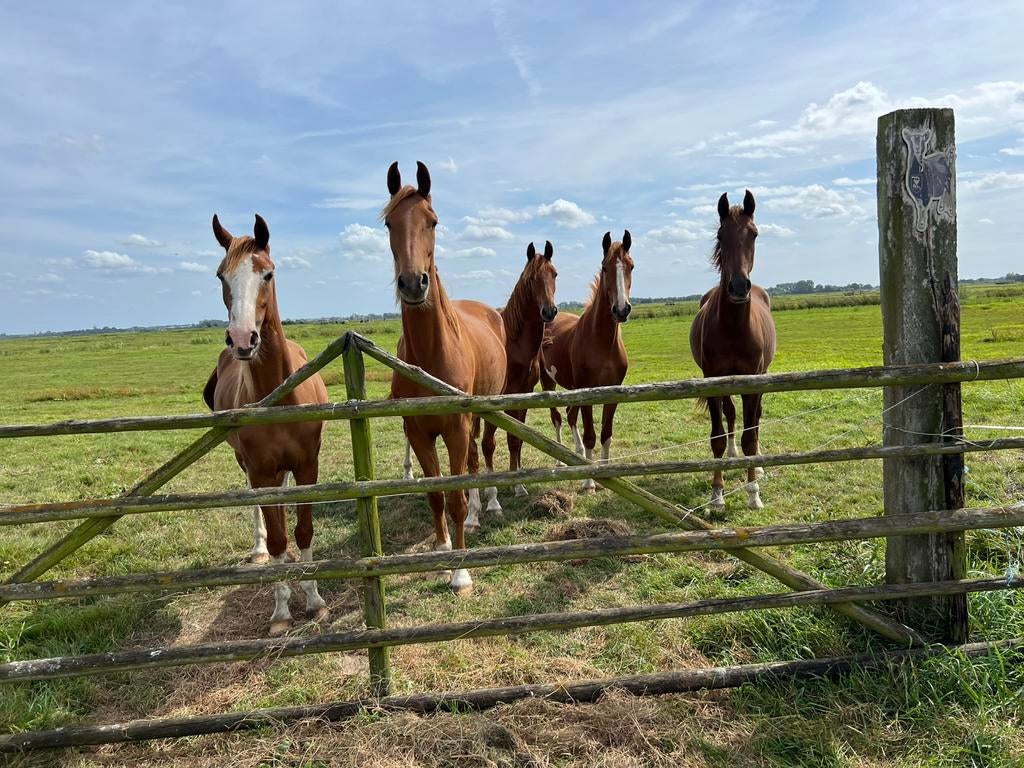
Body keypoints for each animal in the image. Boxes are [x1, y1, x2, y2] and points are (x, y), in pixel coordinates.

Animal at [202, 213, 329, 636]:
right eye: (221, 276)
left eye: (268, 273)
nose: (243, 339)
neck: (280, 395)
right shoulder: (260, 469)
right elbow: (276, 538)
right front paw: (281, 611)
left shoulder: (307, 465)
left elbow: (303, 531)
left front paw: (315, 601)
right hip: (248, 466)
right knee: (259, 509)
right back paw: (259, 550)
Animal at [383, 161, 508, 596]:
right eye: (388, 223)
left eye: (433, 221)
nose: (412, 283)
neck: (432, 355)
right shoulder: (419, 432)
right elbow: (436, 495)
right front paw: (442, 553)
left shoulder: (455, 426)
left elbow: (454, 497)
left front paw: (461, 572)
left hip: (483, 413)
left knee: (480, 455)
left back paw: (486, 506)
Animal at [480, 241, 559, 499]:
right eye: (532, 278)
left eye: (554, 274)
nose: (549, 311)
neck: (514, 344)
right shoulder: (495, 401)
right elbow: (489, 443)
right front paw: (491, 491)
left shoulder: (524, 395)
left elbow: (517, 439)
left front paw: (518, 483)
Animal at [539, 231, 632, 492]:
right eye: (604, 267)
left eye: (631, 266)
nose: (621, 310)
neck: (601, 342)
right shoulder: (587, 391)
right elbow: (591, 435)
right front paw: (590, 482)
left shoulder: (613, 391)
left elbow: (606, 435)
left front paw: (607, 476)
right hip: (548, 382)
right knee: (557, 418)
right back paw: (560, 460)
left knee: (570, 415)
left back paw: (575, 455)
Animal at [688, 190, 776, 511]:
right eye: (720, 235)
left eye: (754, 233)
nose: (738, 287)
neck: (735, 328)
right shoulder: (714, 380)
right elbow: (717, 435)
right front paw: (717, 495)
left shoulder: (753, 382)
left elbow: (750, 435)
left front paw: (753, 494)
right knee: (730, 414)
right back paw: (731, 455)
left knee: (755, 419)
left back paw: (758, 465)